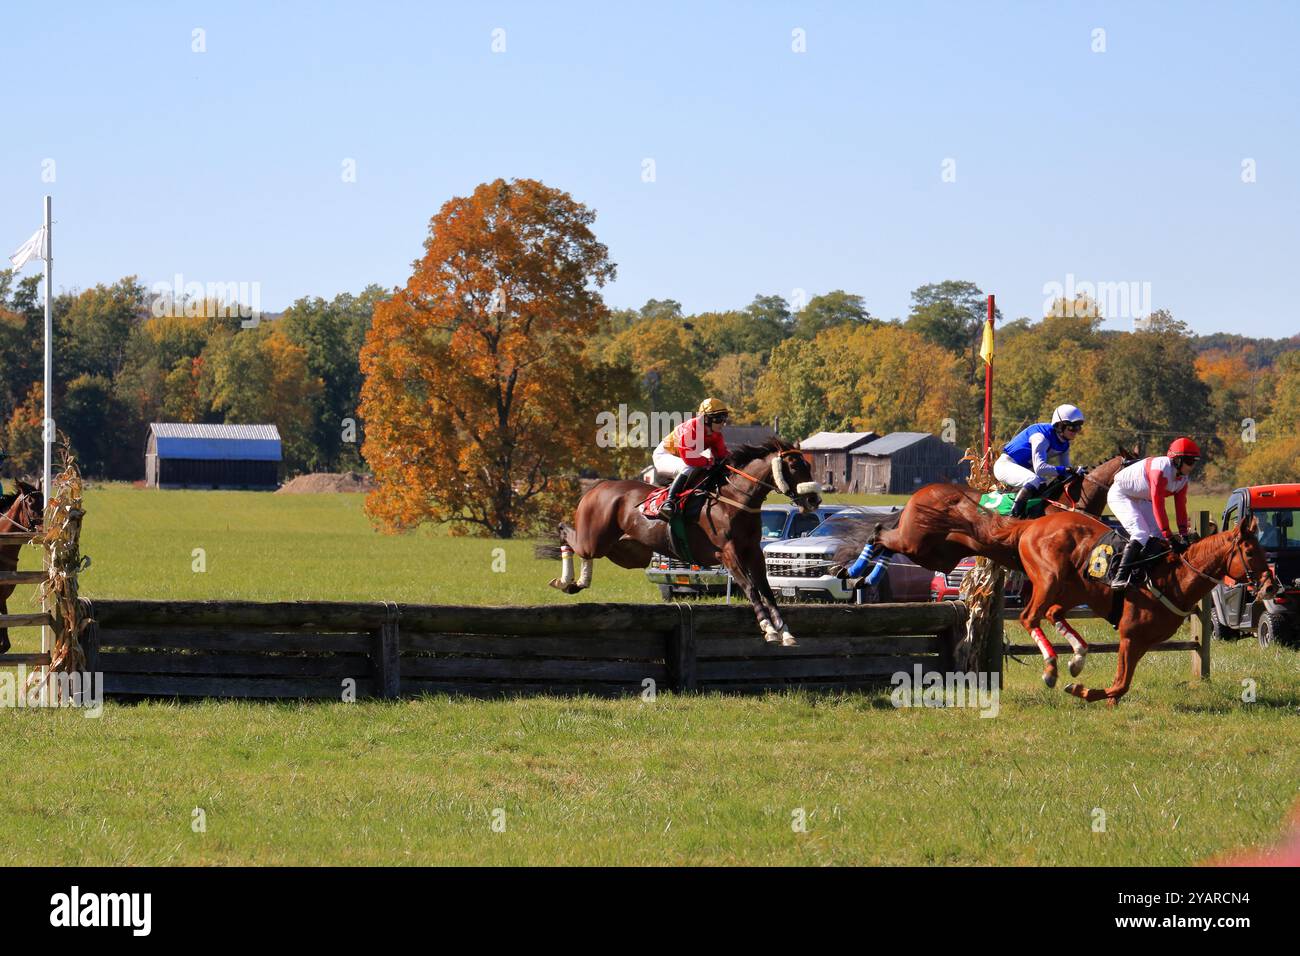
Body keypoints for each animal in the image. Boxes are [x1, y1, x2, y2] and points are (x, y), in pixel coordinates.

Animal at [538, 437, 821, 647]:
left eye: (808, 466)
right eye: (794, 467)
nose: (814, 500)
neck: (735, 500)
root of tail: (597, 487)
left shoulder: (753, 552)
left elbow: (765, 589)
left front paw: (785, 632)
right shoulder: (727, 553)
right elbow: (750, 588)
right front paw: (767, 628)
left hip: (626, 551)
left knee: (587, 552)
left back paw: (577, 583)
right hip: (594, 538)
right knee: (566, 533)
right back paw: (565, 580)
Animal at [1008, 512, 1274, 707]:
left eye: (1262, 550)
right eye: (1250, 552)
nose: (1272, 586)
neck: (1176, 579)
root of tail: (1032, 524)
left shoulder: (1143, 642)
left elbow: (1121, 683)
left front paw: (1102, 698)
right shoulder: (1130, 635)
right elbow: (1121, 683)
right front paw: (1081, 691)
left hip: (1075, 591)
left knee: (1053, 613)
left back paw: (1077, 658)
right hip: (1048, 581)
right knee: (1029, 617)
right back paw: (1051, 669)